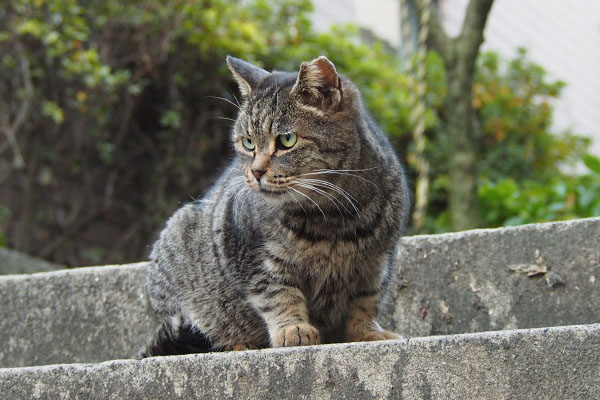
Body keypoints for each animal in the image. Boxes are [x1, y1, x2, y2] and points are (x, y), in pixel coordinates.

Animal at [137, 55, 408, 356]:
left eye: (287, 140)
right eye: (248, 143)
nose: (255, 172)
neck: (333, 217)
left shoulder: (378, 262)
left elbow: (365, 302)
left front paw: (368, 332)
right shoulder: (254, 256)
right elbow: (278, 294)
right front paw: (293, 328)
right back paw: (239, 343)